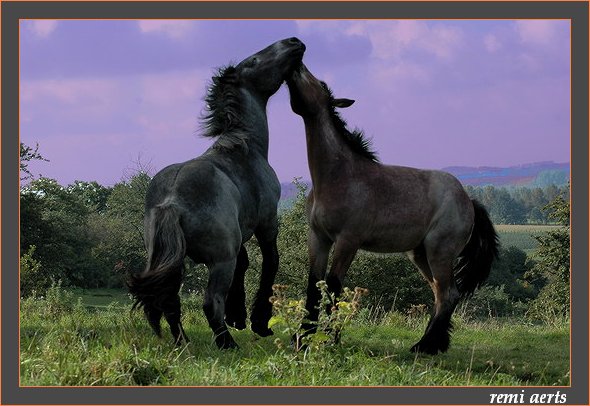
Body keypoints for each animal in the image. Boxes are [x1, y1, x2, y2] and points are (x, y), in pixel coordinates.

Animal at [128, 37, 306, 348]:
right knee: (210, 302)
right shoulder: (267, 223)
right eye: (255, 60)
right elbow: (270, 263)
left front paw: (239, 315)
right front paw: (258, 321)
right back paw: (227, 343)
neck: (244, 147)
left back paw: (184, 343)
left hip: (172, 260)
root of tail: (171, 202)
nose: (293, 42)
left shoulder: (240, 233)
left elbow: (245, 263)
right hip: (220, 262)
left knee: (170, 303)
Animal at [286, 61, 500, 354]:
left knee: (448, 294)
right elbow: (314, 286)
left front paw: (330, 337)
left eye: (319, 83)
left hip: (439, 252)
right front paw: (303, 338)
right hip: (420, 255)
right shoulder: (318, 238)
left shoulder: (347, 242)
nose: (295, 64)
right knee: (439, 293)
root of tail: (469, 201)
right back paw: (431, 343)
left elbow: (334, 286)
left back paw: (425, 346)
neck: (337, 176)